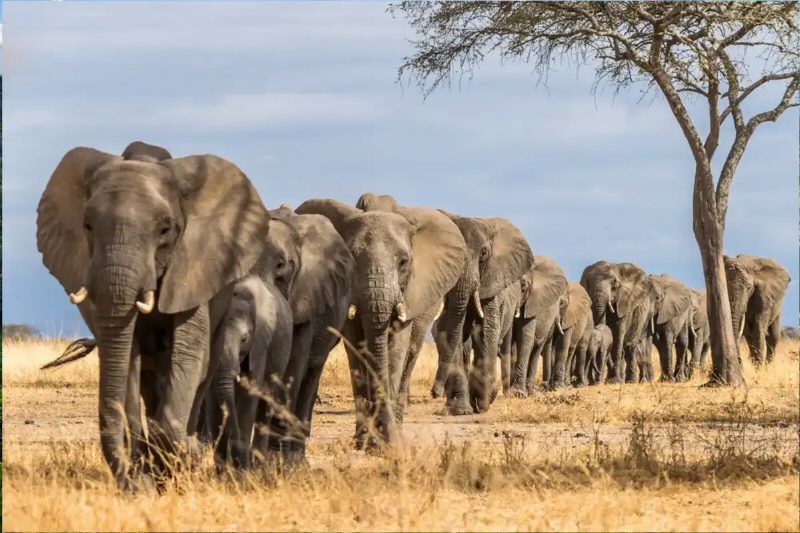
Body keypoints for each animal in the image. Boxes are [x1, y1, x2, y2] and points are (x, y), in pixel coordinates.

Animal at [36, 142, 270, 488]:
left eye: (165, 229)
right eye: (87, 226)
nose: (131, 482)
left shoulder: (193, 267)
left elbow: (189, 353)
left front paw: (184, 457)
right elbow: (126, 358)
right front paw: (146, 477)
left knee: (203, 371)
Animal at [204, 274, 292, 468]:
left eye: (244, 339)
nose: (235, 458)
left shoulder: (260, 342)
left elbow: (250, 390)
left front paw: (240, 466)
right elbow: (213, 395)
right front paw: (222, 467)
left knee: (266, 403)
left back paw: (259, 463)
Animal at [295, 198, 466, 447]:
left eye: (403, 262)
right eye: (350, 259)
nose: (385, 438)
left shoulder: (410, 292)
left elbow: (396, 349)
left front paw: (386, 441)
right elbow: (357, 349)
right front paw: (365, 441)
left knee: (410, 355)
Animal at [430, 213, 534, 415]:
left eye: (484, 253)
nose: (434, 393)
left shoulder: (492, 283)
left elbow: (486, 331)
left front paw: (483, 401)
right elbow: (449, 332)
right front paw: (462, 410)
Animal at [508, 256, 569, 396]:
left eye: (524, 286)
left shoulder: (532, 303)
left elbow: (525, 338)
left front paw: (518, 393)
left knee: (536, 349)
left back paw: (530, 392)